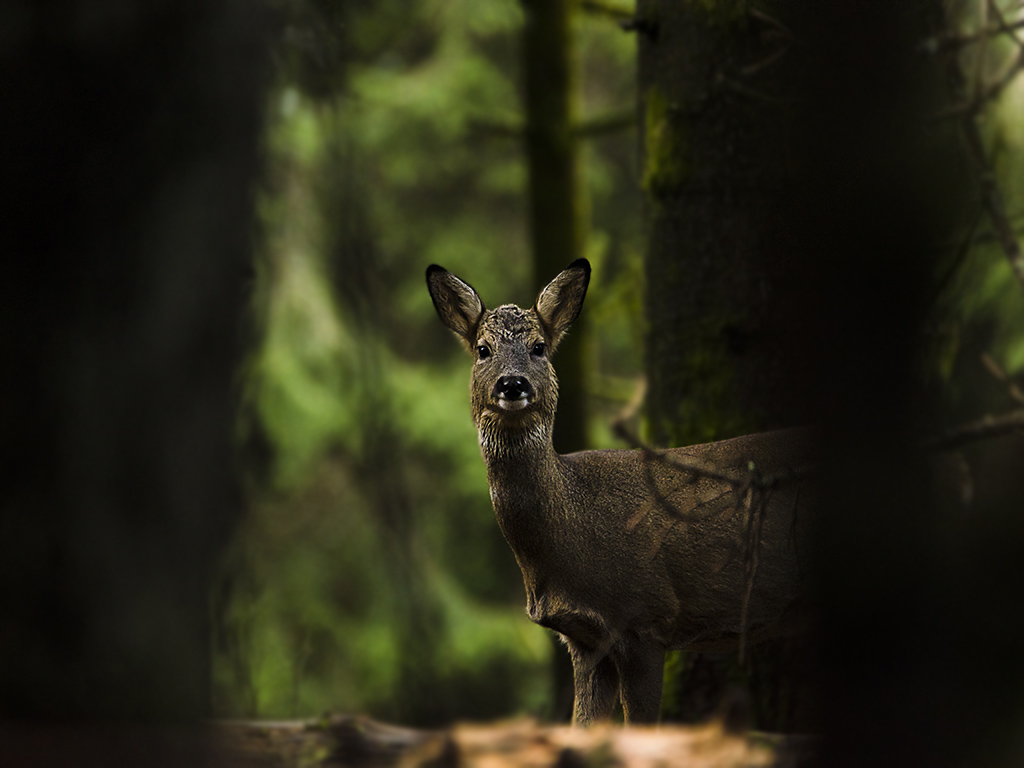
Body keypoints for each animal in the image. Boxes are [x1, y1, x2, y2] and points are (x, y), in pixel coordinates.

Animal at [425, 259, 815, 729]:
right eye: (483, 349)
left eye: (539, 347)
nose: (512, 384)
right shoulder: (586, 640)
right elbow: (582, 727)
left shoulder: (646, 619)